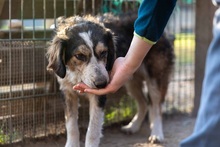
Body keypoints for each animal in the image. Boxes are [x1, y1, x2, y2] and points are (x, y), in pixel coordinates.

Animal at [46, 13, 174, 146]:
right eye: (79, 56)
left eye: (104, 52)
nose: (102, 84)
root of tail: (163, 33)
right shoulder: (67, 93)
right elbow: (71, 126)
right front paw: (71, 144)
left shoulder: (98, 97)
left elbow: (92, 131)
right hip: (131, 82)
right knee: (144, 103)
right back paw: (133, 126)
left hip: (155, 79)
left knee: (156, 107)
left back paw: (157, 134)